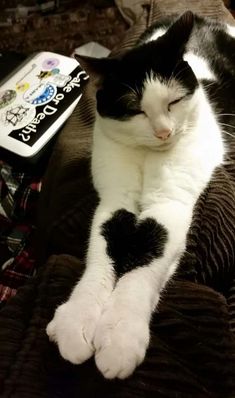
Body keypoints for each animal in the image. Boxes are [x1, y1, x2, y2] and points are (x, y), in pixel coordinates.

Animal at [46, 11, 235, 380]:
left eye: (174, 101)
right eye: (136, 110)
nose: (165, 132)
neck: (148, 154)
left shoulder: (169, 205)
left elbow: (146, 261)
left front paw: (121, 335)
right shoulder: (114, 203)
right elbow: (101, 255)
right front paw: (79, 318)